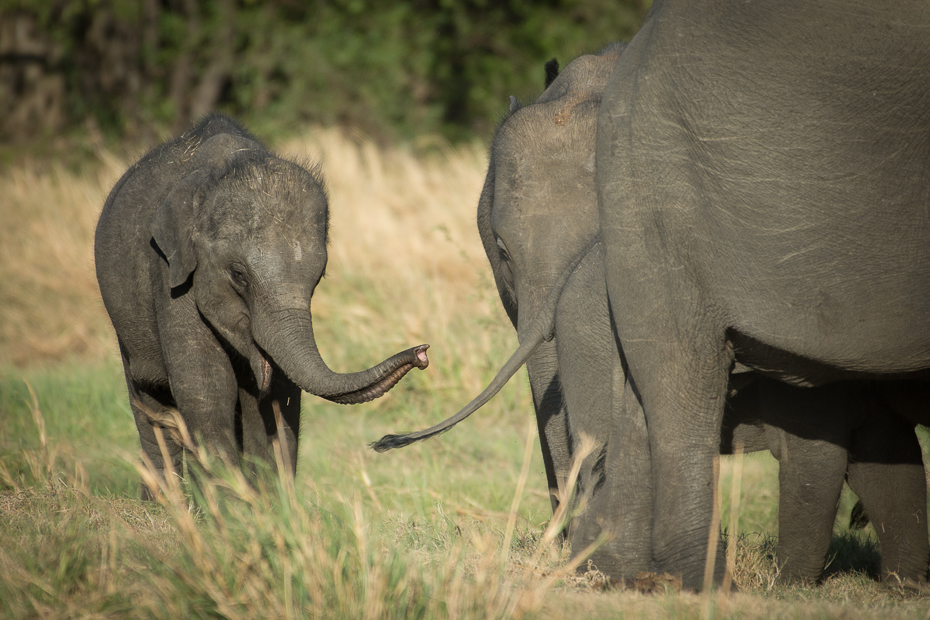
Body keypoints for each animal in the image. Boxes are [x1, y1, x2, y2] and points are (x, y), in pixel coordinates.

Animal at [94, 114, 428, 496]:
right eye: (239, 275)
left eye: (320, 275)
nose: (422, 353)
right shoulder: (171, 278)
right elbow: (205, 392)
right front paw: (234, 509)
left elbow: (279, 398)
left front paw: (272, 505)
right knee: (148, 402)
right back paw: (165, 502)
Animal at [596, 0, 928, 588]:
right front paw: (791, 585)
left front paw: (904, 589)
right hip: (654, 201)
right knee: (679, 375)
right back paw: (704, 585)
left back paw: (631, 576)